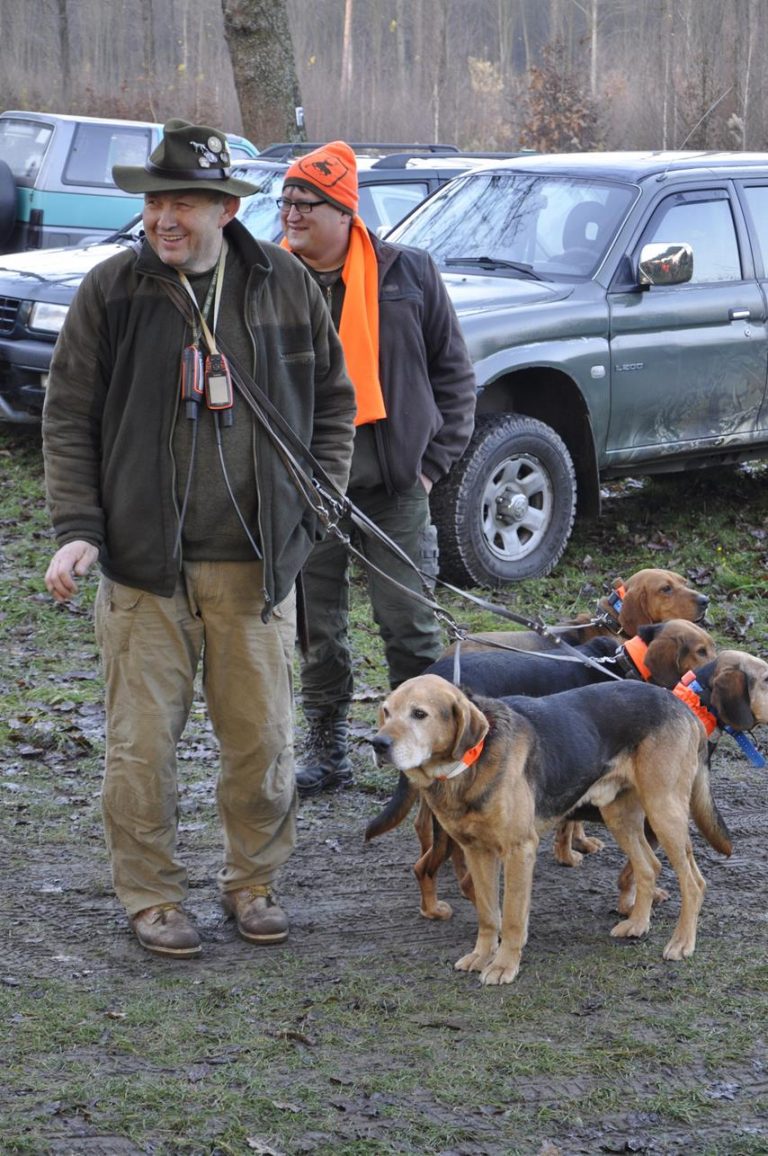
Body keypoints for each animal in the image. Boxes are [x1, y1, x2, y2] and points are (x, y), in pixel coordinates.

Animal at [372, 675, 730, 984]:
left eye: (419, 714)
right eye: (386, 711)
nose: (377, 743)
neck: (470, 762)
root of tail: (682, 707)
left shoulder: (519, 850)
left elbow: (512, 917)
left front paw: (503, 965)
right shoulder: (477, 851)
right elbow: (488, 914)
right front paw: (482, 956)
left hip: (663, 811)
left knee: (693, 882)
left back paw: (682, 943)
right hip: (620, 814)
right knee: (648, 867)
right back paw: (638, 924)